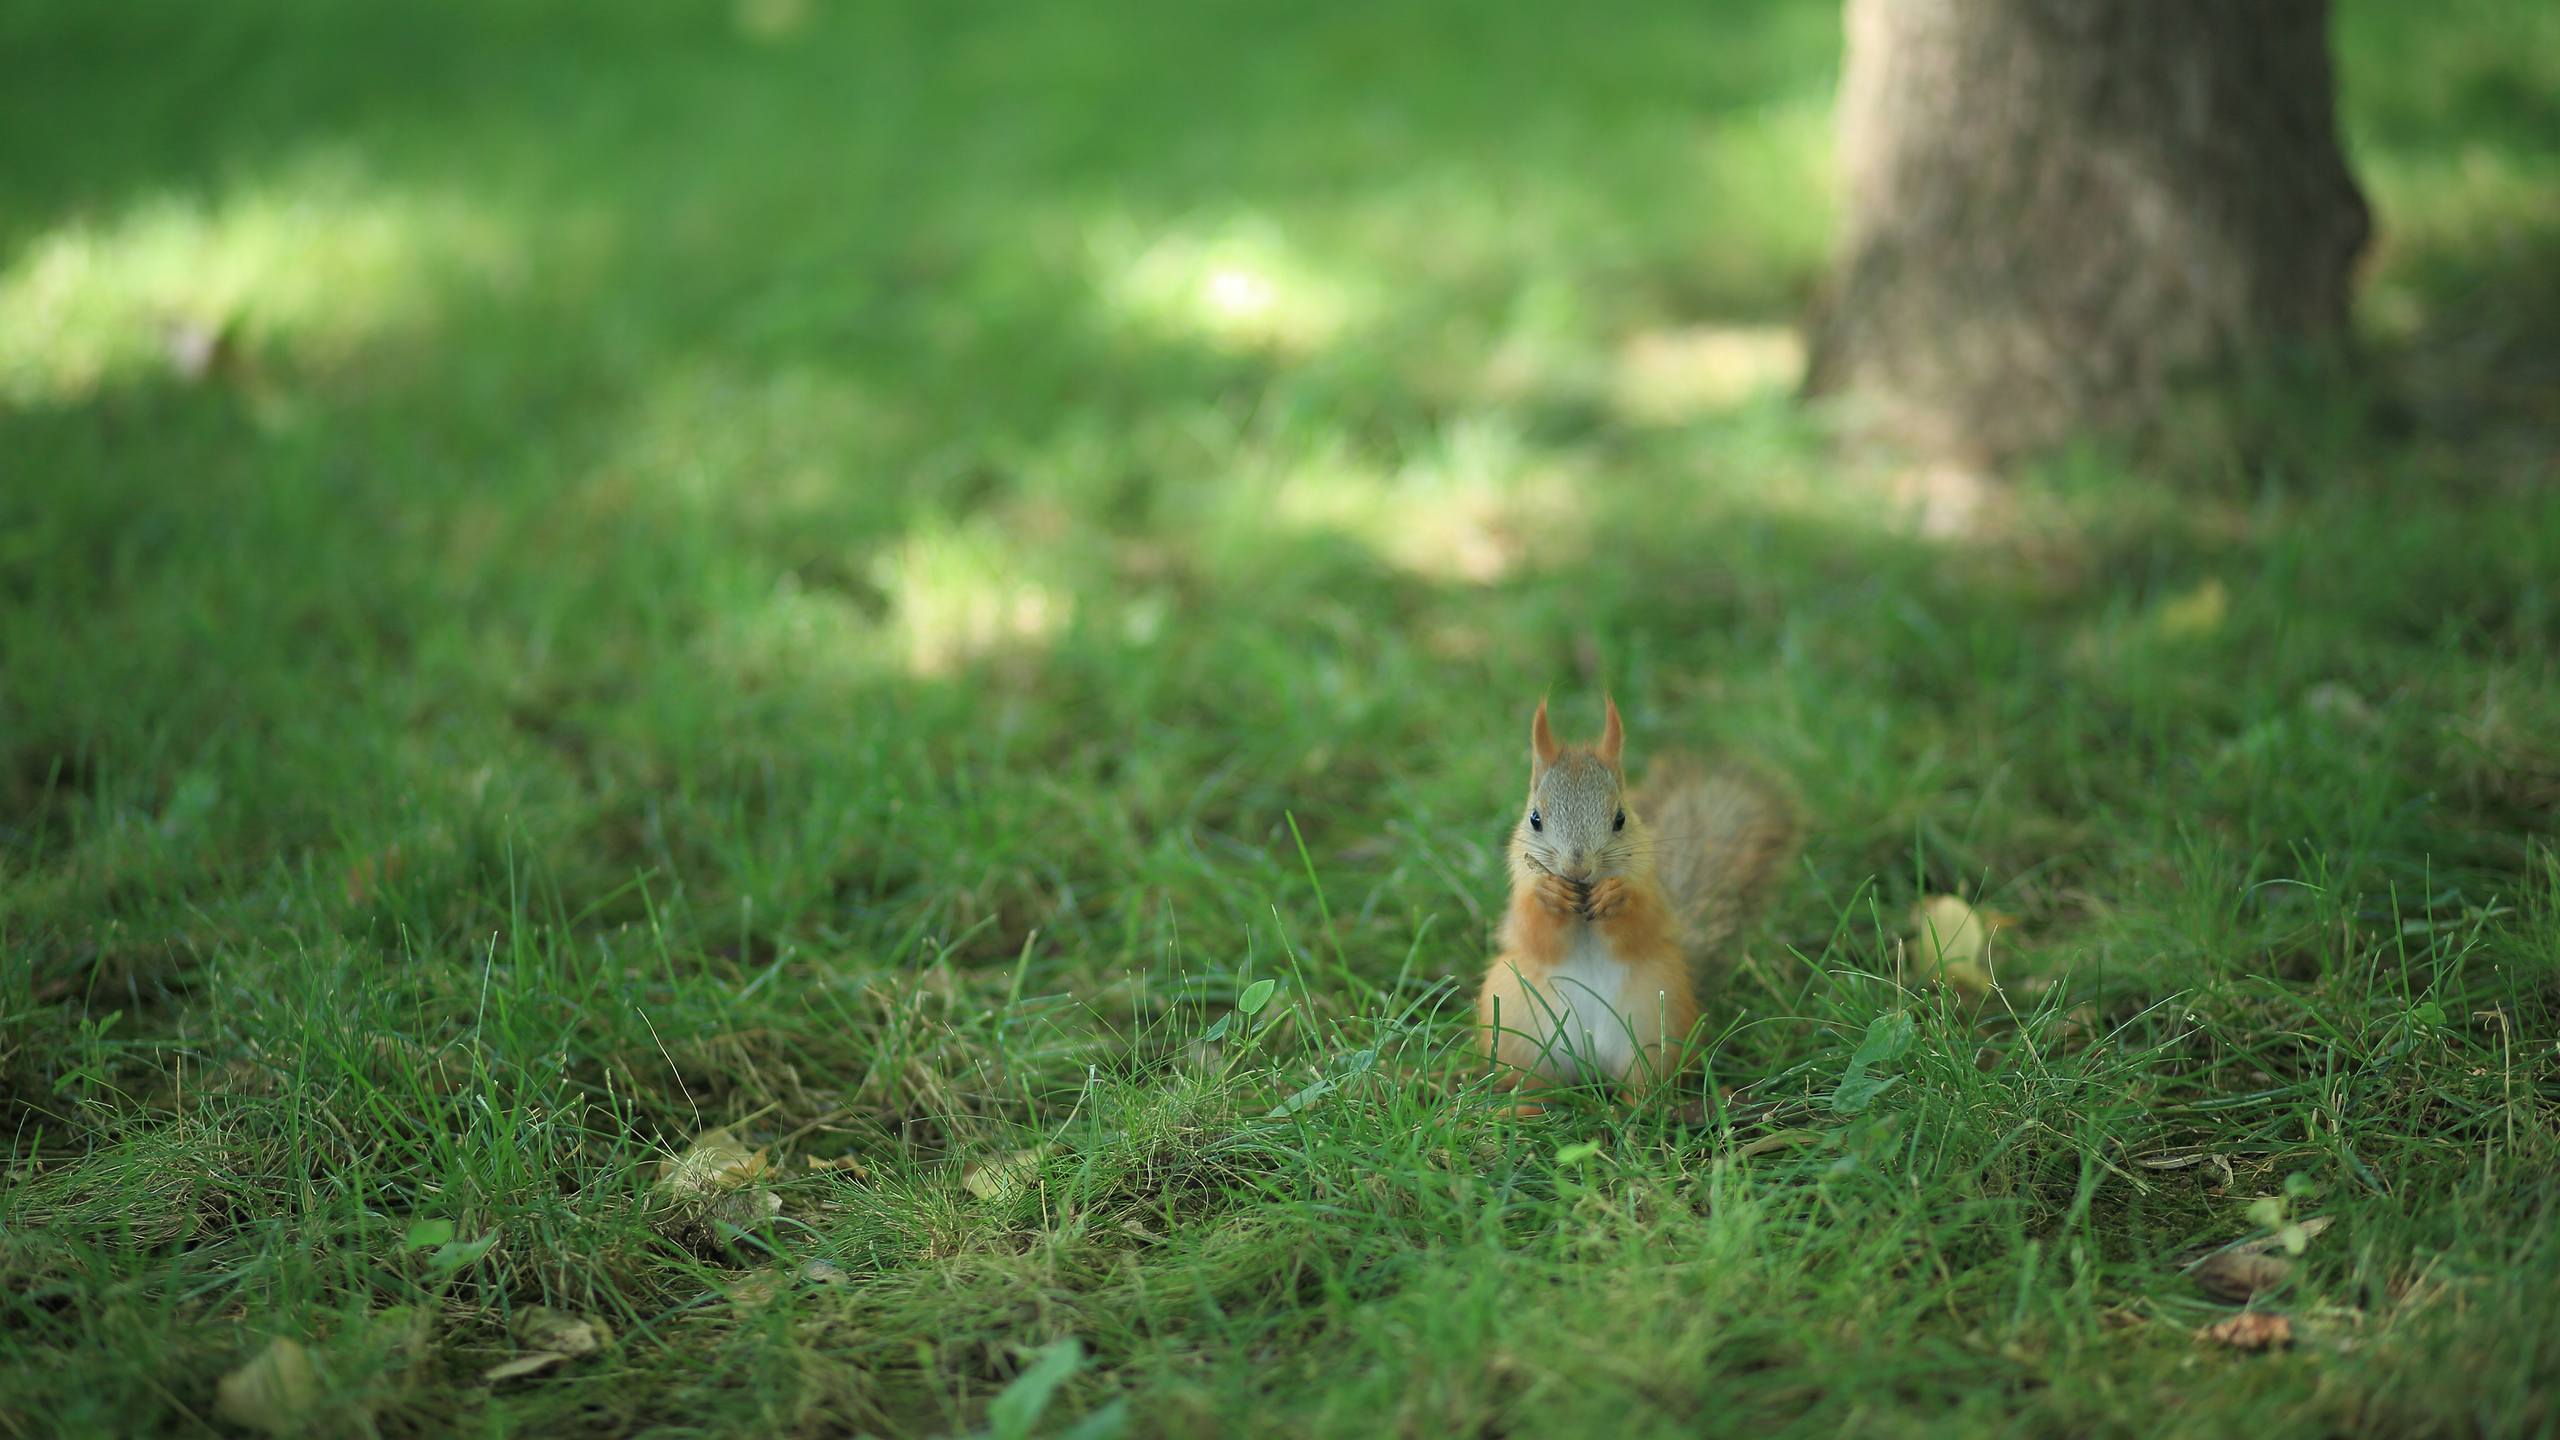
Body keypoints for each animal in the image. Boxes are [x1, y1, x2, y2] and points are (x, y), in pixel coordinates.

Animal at [1484, 696, 1802, 1112]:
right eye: (1535, 818)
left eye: (1621, 818)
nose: (1578, 868)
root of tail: (1591, 1062)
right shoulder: (1519, 905)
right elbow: (1535, 932)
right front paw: (1549, 895)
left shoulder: (1653, 901)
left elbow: (1639, 925)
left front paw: (1614, 896)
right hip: (1516, 1022)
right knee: (1536, 1082)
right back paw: (1524, 1110)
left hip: (1653, 1020)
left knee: (1643, 1082)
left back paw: (1631, 1111)